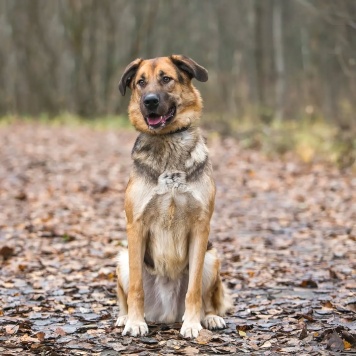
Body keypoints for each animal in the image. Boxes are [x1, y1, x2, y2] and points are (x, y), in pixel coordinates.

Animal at [114, 55, 231, 336]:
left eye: (166, 78)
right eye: (140, 82)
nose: (150, 101)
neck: (167, 141)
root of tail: (166, 314)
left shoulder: (201, 227)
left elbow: (194, 290)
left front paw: (192, 324)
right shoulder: (136, 226)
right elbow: (136, 289)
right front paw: (135, 322)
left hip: (212, 258)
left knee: (209, 299)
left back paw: (209, 318)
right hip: (122, 259)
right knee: (126, 295)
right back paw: (125, 317)